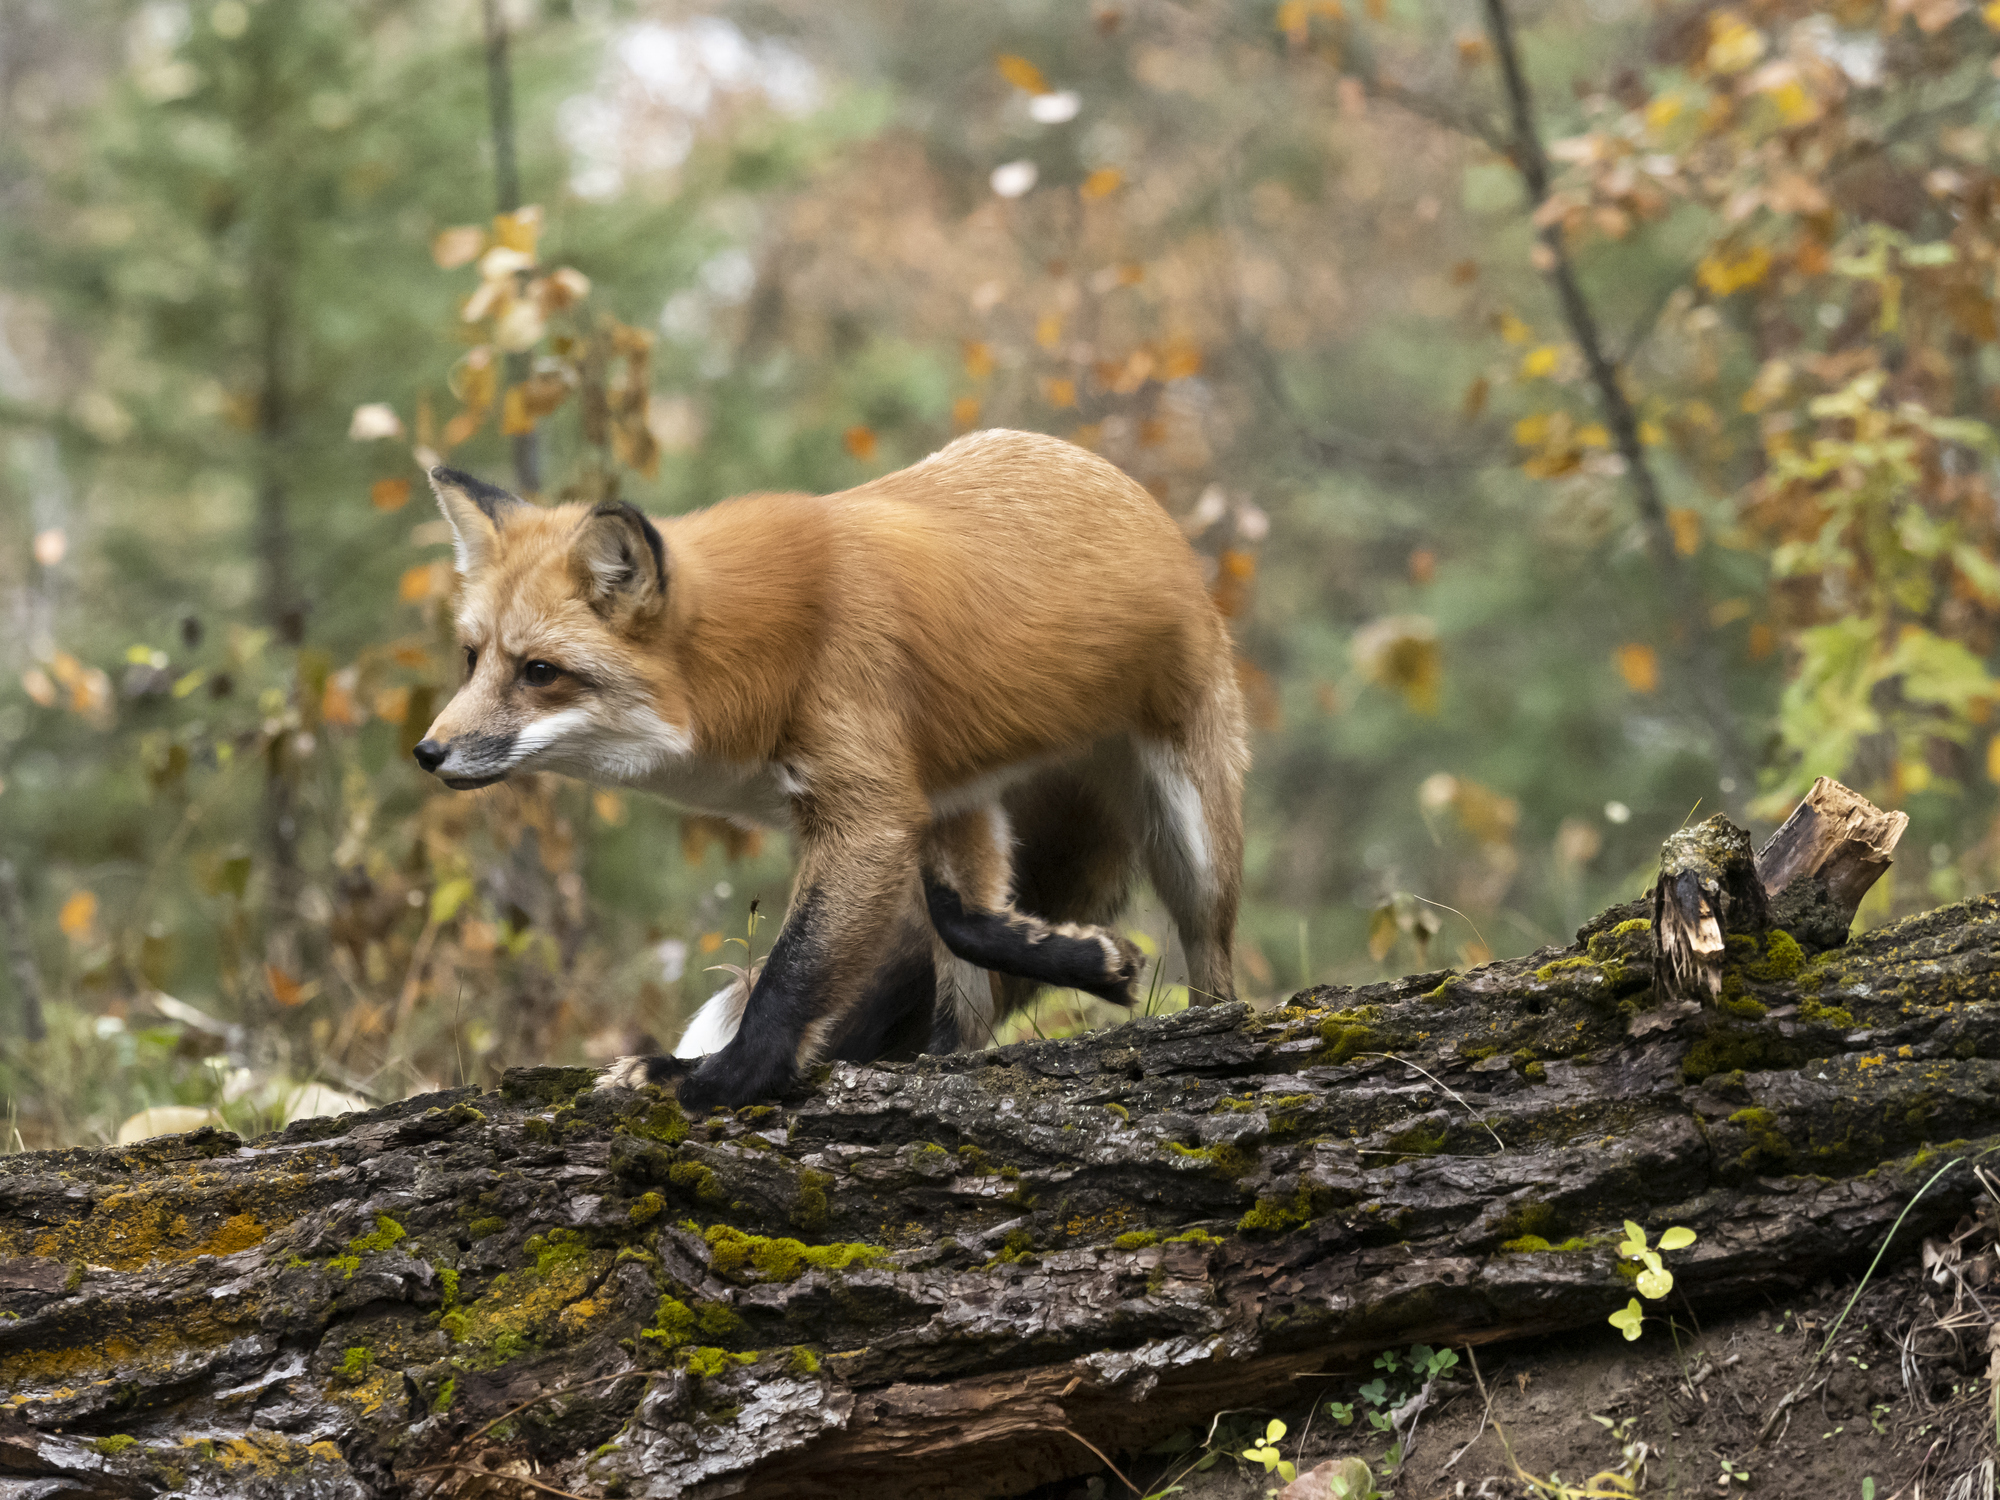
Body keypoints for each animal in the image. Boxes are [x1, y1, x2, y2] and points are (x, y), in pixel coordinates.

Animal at [414, 428, 1240, 1112]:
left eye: (539, 672)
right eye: (471, 659)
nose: (428, 752)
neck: (759, 656)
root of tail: (1118, 483)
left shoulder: (867, 812)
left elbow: (791, 974)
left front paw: (716, 1080)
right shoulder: (918, 800)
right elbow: (961, 923)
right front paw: (1091, 961)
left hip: (1192, 838)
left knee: (1212, 963)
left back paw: (1215, 1027)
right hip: (971, 801)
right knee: (961, 960)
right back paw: (950, 1056)